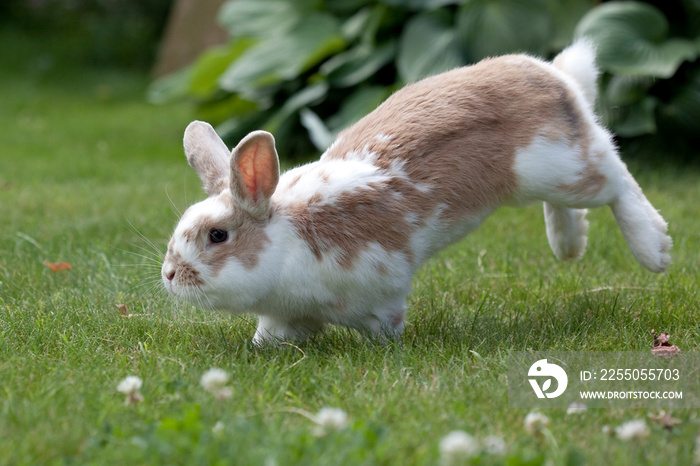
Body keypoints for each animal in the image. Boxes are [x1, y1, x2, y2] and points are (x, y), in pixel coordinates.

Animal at [161, 40, 668, 344]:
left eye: (218, 236)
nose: (169, 275)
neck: (287, 238)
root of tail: (557, 77)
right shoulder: (286, 316)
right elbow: (273, 334)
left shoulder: (380, 290)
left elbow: (386, 325)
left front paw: (389, 347)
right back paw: (569, 243)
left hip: (563, 168)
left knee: (616, 175)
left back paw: (655, 249)